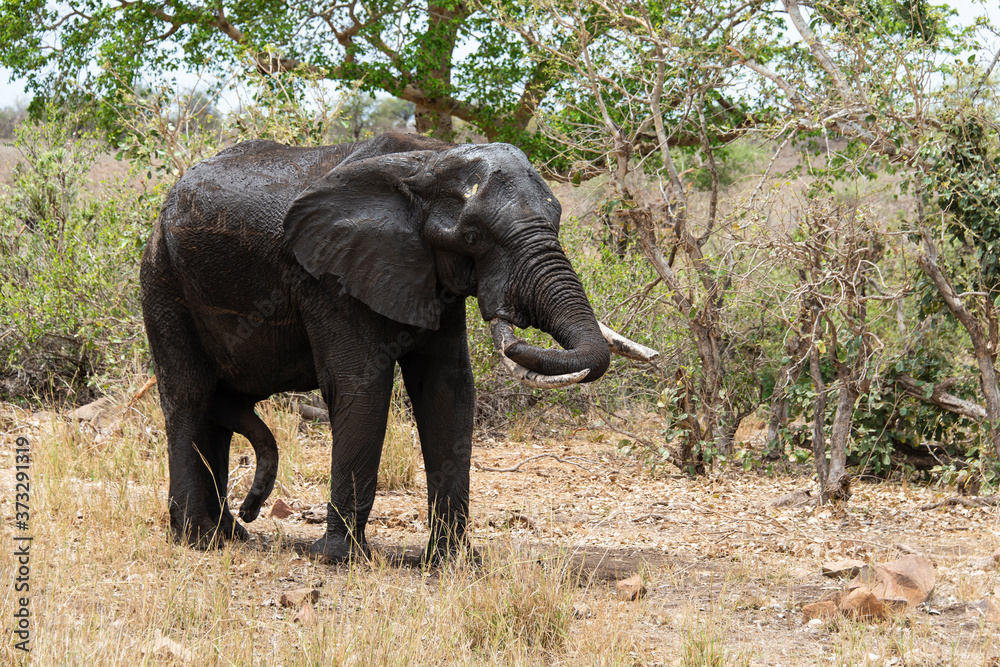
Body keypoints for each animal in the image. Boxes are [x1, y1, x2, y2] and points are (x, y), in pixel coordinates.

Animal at [140, 132, 656, 563]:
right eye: (472, 237)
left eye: (557, 220)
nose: (513, 320)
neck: (425, 162)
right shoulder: (329, 277)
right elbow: (362, 387)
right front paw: (336, 559)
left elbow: (448, 390)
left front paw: (452, 563)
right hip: (161, 281)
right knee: (189, 397)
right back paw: (198, 539)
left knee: (220, 408)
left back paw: (231, 534)